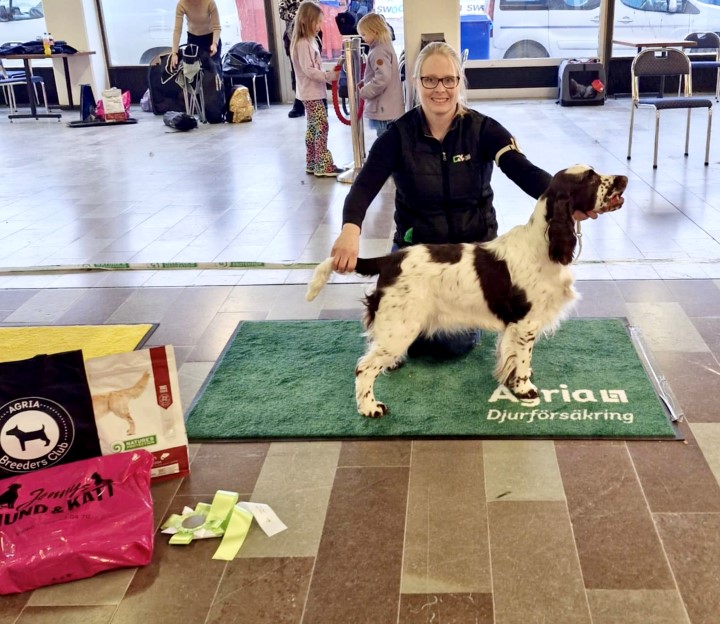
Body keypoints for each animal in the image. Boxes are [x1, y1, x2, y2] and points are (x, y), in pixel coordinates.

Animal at [306, 165, 628, 420]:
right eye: (590, 178)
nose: (624, 178)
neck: (544, 243)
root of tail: (389, 259)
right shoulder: (526, 323)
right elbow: (523, 361)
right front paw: (525, 389)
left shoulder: (514, 327)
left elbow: (511, 357)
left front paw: (512, 381)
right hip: (402, 326)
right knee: (363, 368)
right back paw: (370, 407)